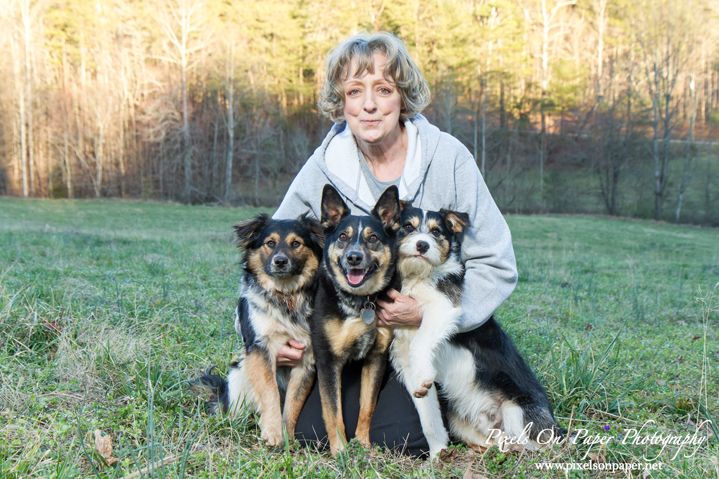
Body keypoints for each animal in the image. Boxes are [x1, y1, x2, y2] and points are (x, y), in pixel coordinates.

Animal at [310, 184, 402, 454]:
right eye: (343, 236)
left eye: (373, 238)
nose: (353, 257)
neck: (360, 302)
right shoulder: (327, 361)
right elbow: (333, 411)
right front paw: (340, 450)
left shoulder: (376, 358)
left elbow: (367, 406)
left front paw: (362, 443)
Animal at [390, 203, 564, 458]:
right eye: (407, 226)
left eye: (436, 232)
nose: (422, 245)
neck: (418, 274)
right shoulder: (405, 359)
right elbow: (429, 419)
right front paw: (437, 455)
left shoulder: (443, 309)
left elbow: (420, 342)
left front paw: (423, 376)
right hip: (461, 421)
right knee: (500, 442)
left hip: (515, 410)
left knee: (537, 447)